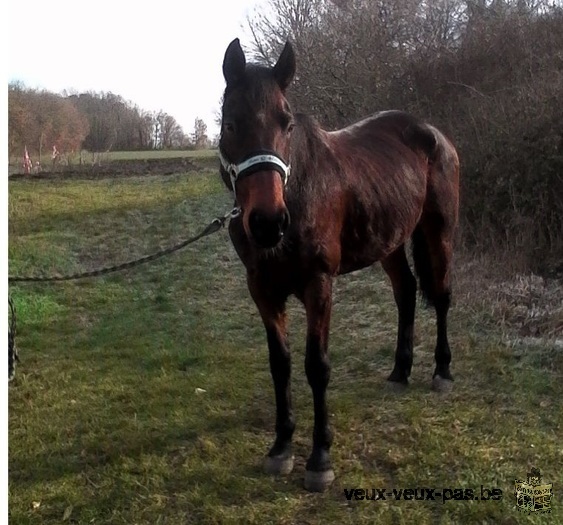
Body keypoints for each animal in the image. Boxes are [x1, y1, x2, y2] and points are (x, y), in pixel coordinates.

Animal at [218, 37, 460, 492]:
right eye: (230, 124)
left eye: (287, 123)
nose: (268, 222)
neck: (299, 191)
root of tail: (434, 134)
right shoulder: (262, 289)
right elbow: (280, 364)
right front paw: (281, 447)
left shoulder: (319, 285)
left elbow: (317, 366)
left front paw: (319, 457)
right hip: (389, 242)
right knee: (406, 293)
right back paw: (400, 372)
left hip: (439, 233)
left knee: (441, 295)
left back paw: (442, 370)